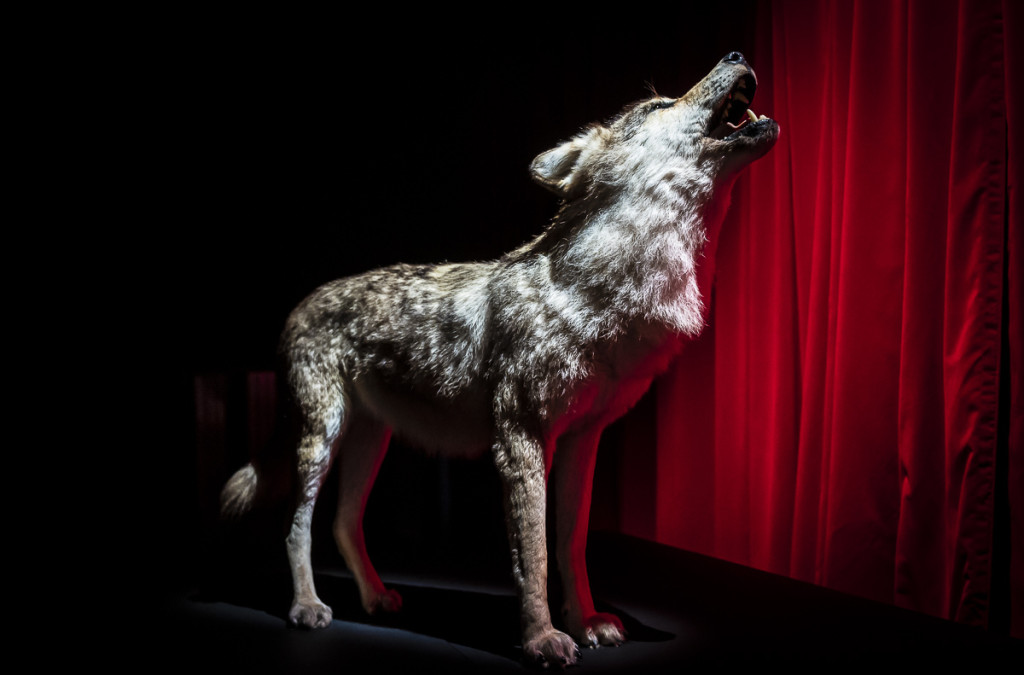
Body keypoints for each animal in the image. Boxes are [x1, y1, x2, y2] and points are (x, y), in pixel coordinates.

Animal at [224, 51, 778, 663]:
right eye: (658, 103)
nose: (736, 54)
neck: (602, 292)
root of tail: (301, 303)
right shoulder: (520, 438)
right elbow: (532, 555)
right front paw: (541, 639)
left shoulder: (582, 441)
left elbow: (571, 546)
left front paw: (586, 621)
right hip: (321, 438)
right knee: (295, 525)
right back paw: (306, 606)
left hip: (372, 440)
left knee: (344, 523)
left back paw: (373, 598)